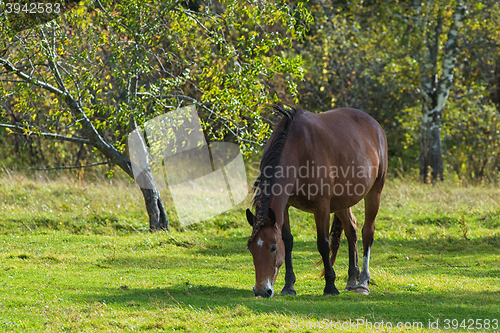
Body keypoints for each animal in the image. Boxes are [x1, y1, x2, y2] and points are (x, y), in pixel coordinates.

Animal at [248, 103, 388, 296]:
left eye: (273, 247)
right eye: (251, 248)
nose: (262, 290)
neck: (299, 148)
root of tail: (375, 126)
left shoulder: (321, 206)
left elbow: (323, 243)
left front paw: (330, 285)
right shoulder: (285, 207)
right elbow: (288, 241)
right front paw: (289, 285)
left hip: (374, 193)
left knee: (367, 232)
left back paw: (363, 282)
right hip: (343, 201)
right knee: (352, 230)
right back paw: (352, 280)